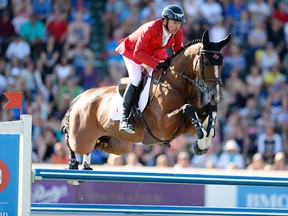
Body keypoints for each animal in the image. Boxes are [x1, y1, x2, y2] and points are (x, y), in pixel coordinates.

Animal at [62, 29, 231, 170]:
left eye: (222, 63)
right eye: (207, 63)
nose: (216, 96)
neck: (176, 84)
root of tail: (82, 97)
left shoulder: (187, 126)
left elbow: (210, 109)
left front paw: (203, 143)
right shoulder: (163, 126)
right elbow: (188, 108)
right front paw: (203, 139)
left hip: (118, 145)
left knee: (97, 145)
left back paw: (86, 166)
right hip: (81, 136)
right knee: (72, 141)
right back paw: (72, 165)